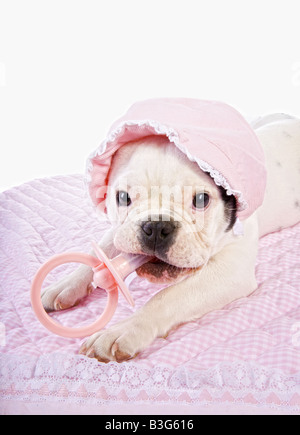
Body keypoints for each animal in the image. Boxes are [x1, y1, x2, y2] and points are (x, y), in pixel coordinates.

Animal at [42, 116, 300, 364]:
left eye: (201, 200)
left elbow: (166, 297)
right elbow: (99, 253)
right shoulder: (119, 231)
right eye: (123, 197)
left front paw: (122, 330)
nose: (156, 226)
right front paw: (65, 284)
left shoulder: (230, 270)